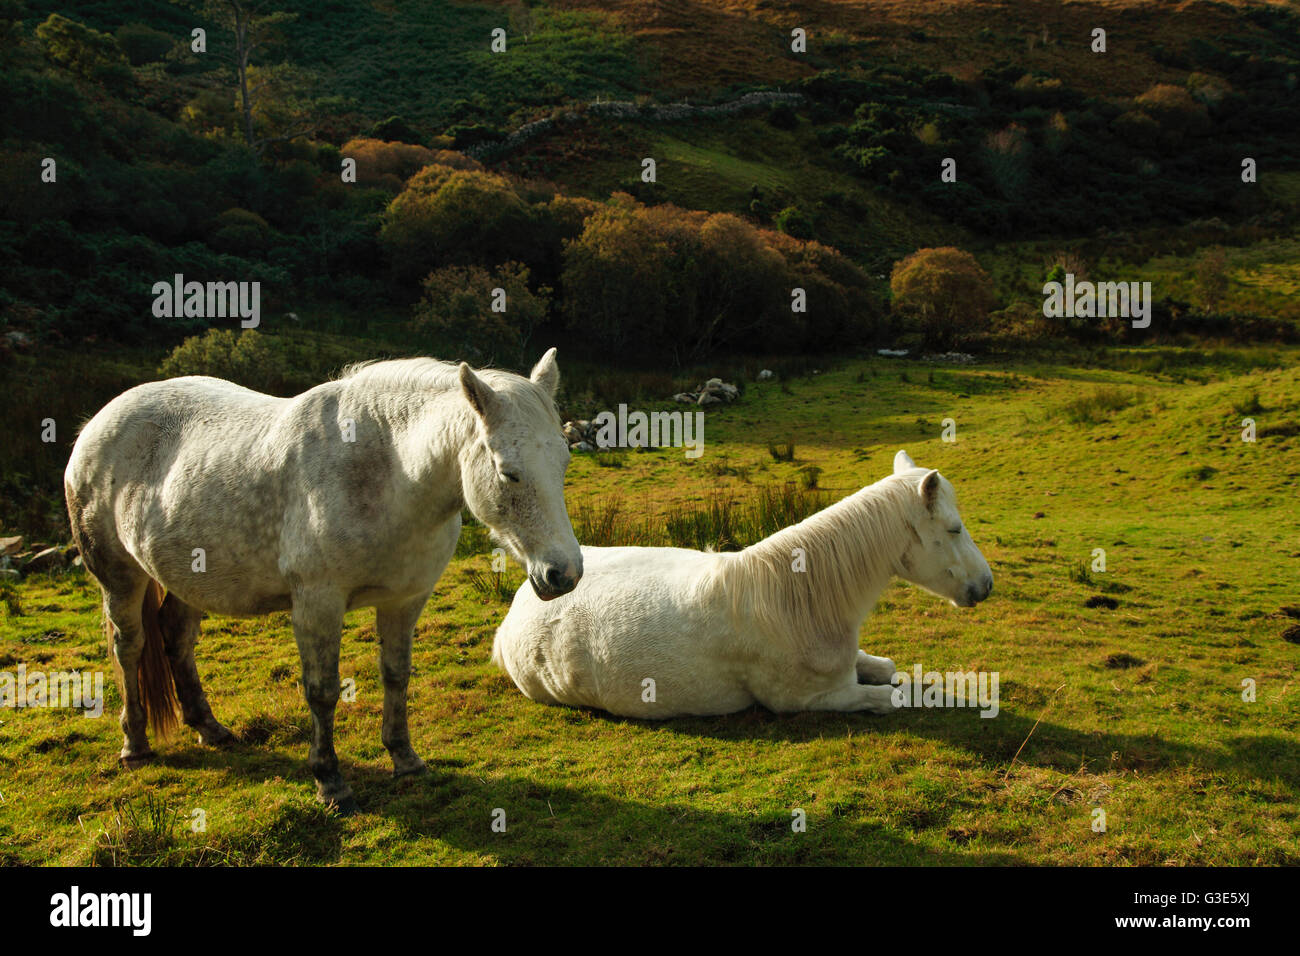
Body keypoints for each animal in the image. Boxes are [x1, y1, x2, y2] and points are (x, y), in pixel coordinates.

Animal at [65, 349, 582, 812]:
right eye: (508, 473)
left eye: (563, 463)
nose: (564, 573)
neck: (385, 472)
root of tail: (97, 423)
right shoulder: (318, 605)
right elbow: (323, 691)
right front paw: (330, 781)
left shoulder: (405, 600)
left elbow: (396, 675)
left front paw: (405, 760)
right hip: (120, 576)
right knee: (129, 647)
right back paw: (135, 744)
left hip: (186, 578)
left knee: (176, 639)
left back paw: (209, 728)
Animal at [492, 450, 992, 719]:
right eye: (953, 529)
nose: (985, 586)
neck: (798, 601)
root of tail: (522, 601)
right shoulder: (813, 698)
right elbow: (895, 697)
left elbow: (886, 668)